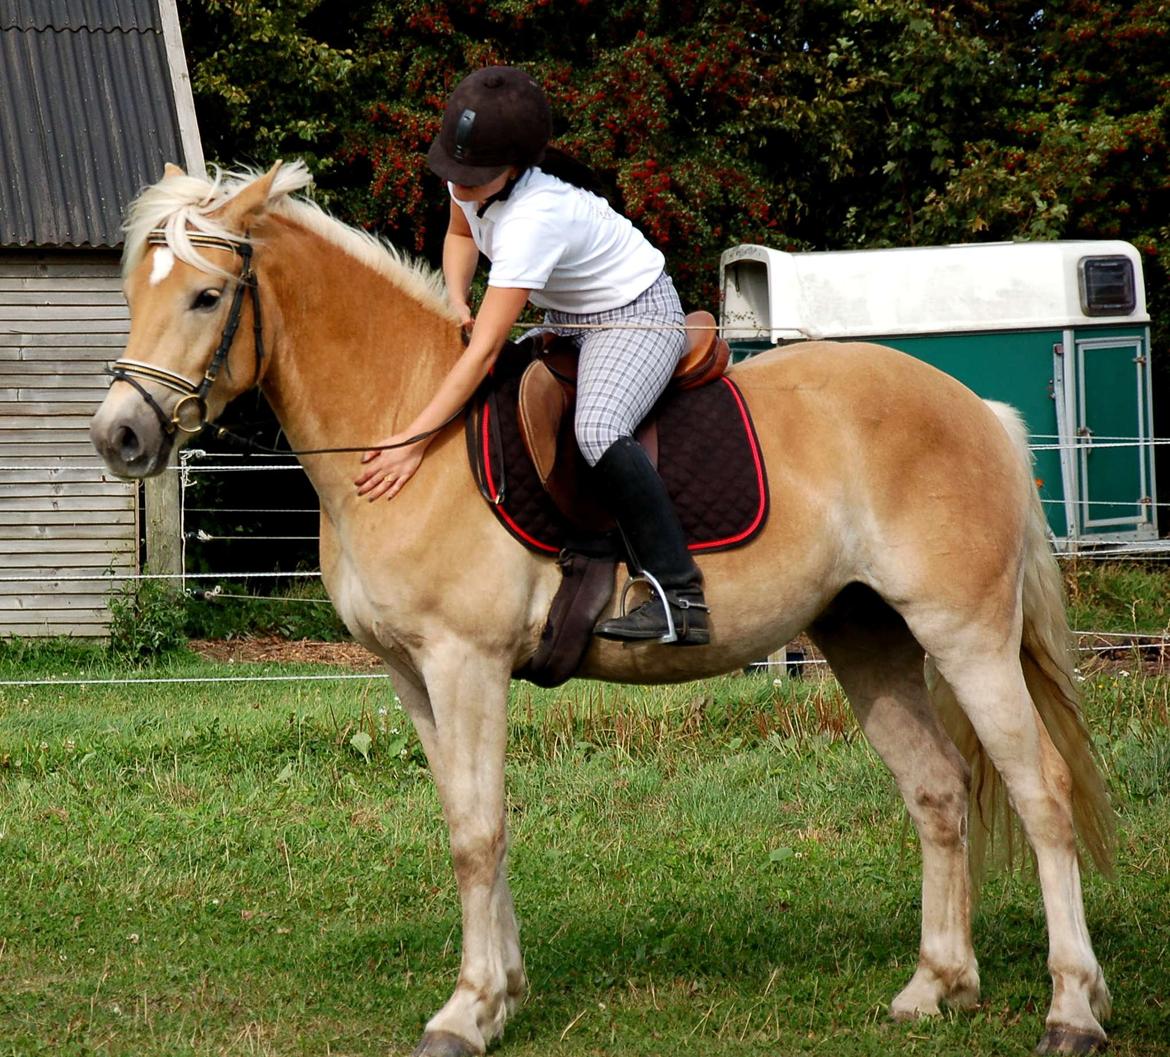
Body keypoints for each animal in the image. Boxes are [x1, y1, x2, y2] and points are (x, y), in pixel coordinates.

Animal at [91, 161, 1113, 1053]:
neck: (410, 426)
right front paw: (501, 996)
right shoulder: (414, 676)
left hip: (967, 636)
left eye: (206, 298)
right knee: (938, 790)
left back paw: (1072, 1009)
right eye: (135, 291)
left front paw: (465, 1012)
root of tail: (981, 412)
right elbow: (473, 820)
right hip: (869, 638)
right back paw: (936, 986)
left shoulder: (465, 663)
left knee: (1042, 793)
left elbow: (477, 833)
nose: (120, 436)